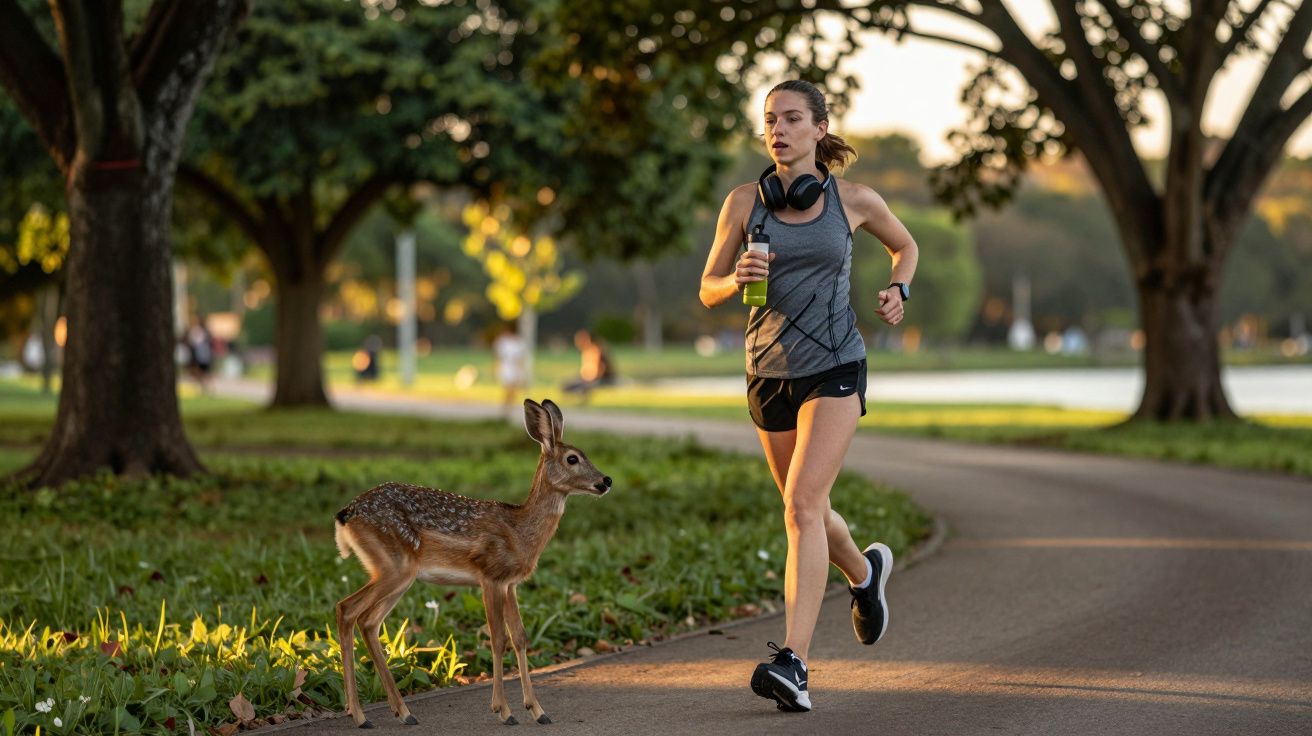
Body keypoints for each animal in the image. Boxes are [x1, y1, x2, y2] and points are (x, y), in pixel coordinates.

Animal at [333, 398, 611, 728]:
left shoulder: (511, 583)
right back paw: (362, 714)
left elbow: (520, 637)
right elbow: (498, 638)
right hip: (395, 567)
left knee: (368, 621)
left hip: (396, 573)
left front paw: (538, 710)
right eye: (572, 458)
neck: (520, 531)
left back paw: (398, 712)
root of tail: (346, 514)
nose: (606, 480)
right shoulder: (490, 575)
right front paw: (504, 711)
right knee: (348, 610)